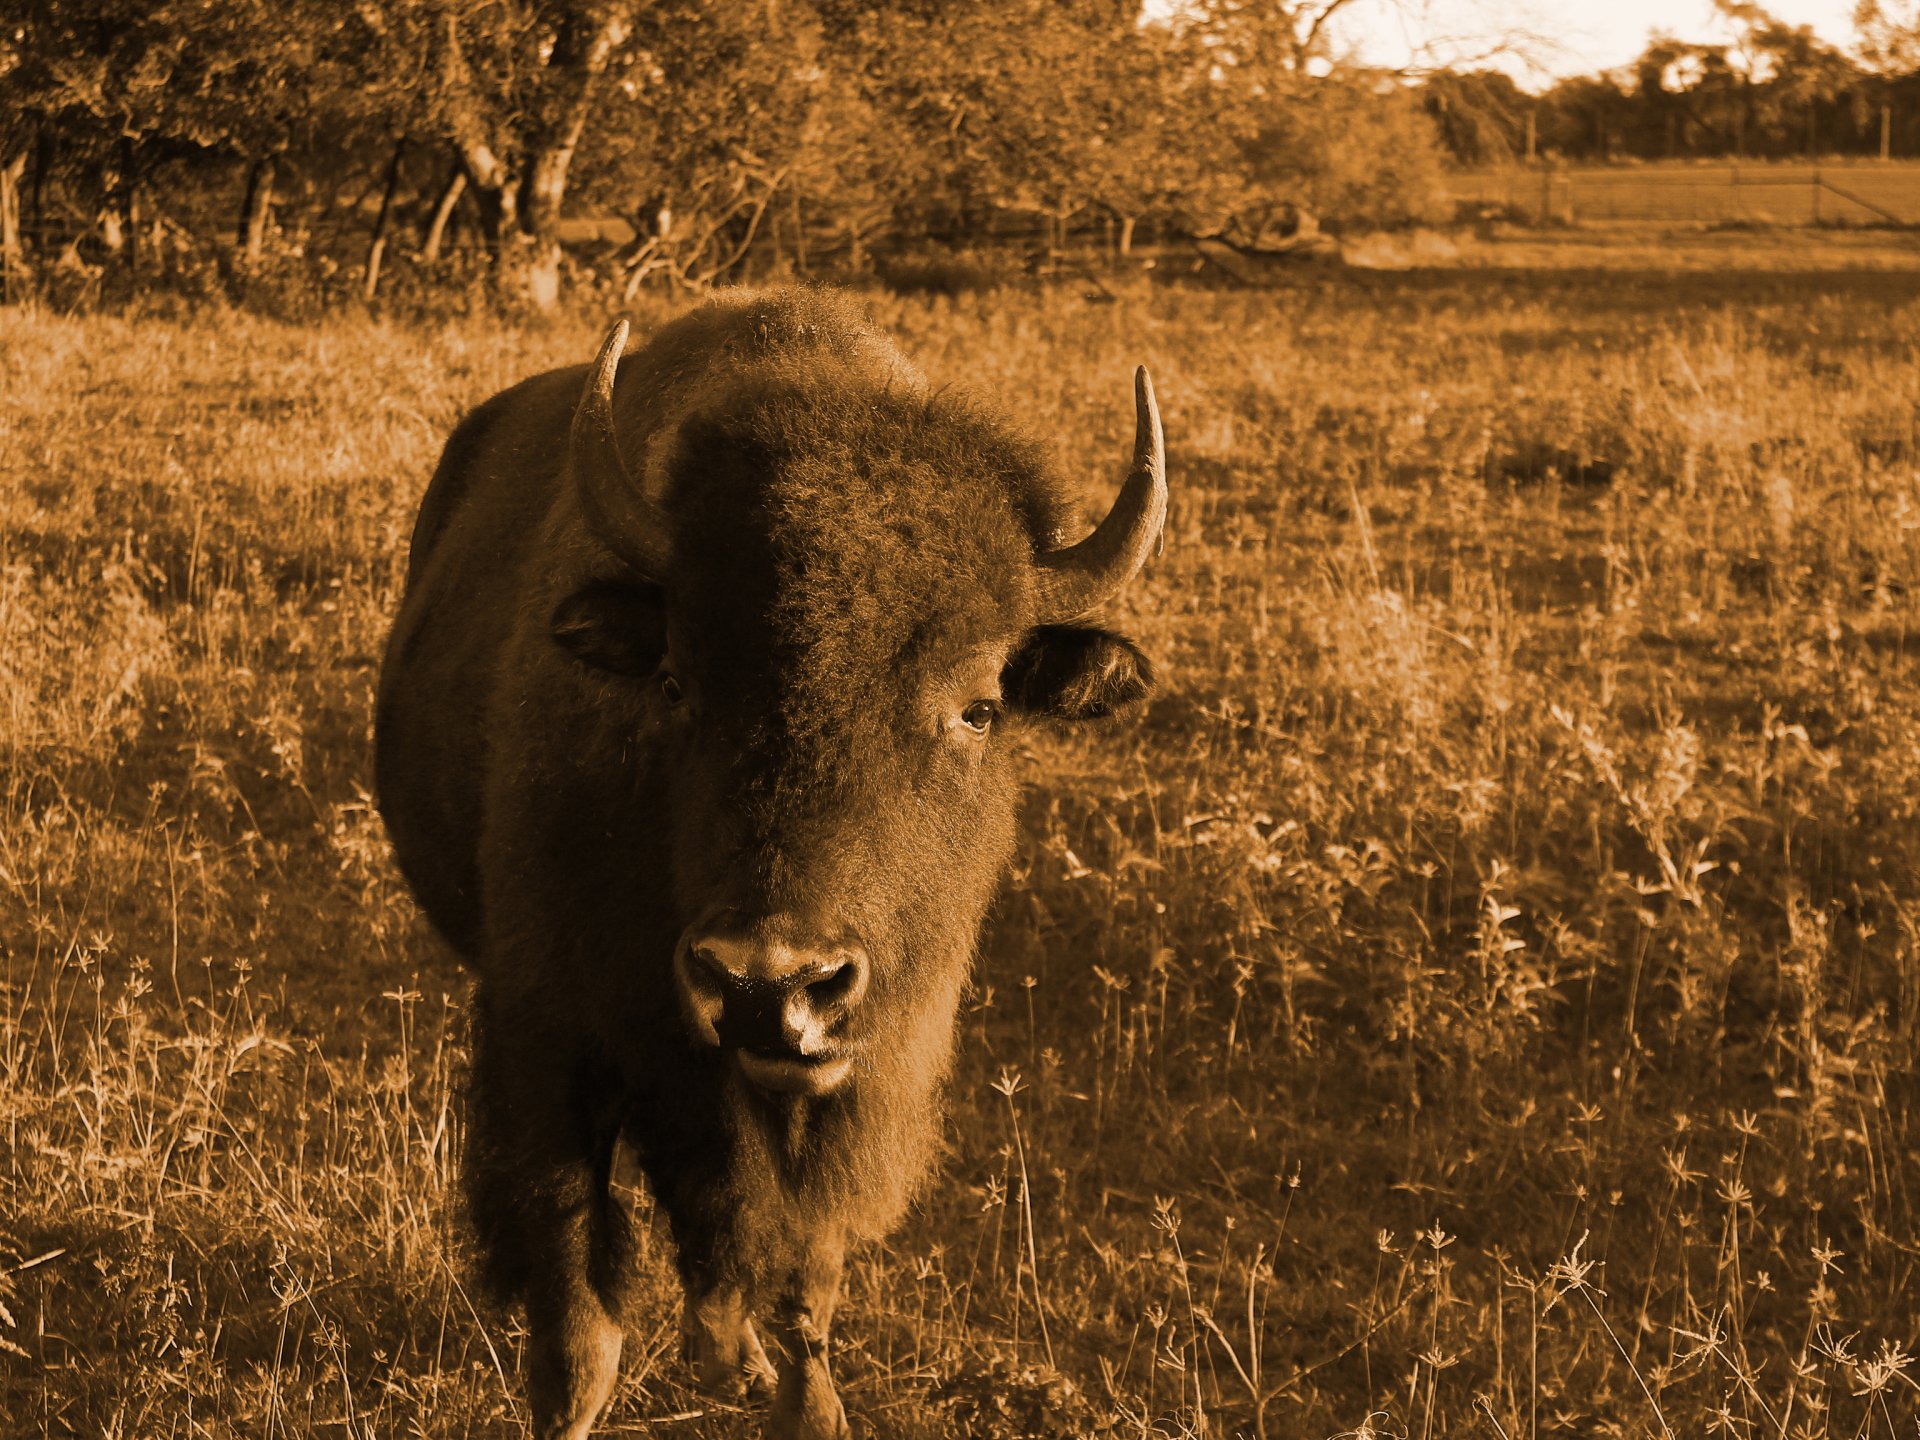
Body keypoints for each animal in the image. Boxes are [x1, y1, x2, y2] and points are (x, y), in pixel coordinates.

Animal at [374, 289, 1166, 1439]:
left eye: (979, 708)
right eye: (675, 686)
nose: (768, 984)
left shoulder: (851, 1083)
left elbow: (803, 1280)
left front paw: (786, 1388)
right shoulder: (548, 1045)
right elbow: (579, 1321)